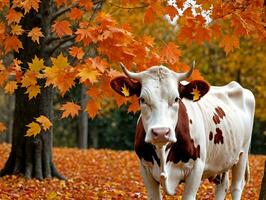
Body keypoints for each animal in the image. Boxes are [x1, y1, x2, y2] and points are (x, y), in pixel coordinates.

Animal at [110, 63, 256, 200]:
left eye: (176, 99)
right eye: (142, 99)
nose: (161, 132)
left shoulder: (196, 168)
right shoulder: (145, 168)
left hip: (242, 154)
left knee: (236, 186)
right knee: (223, 185)